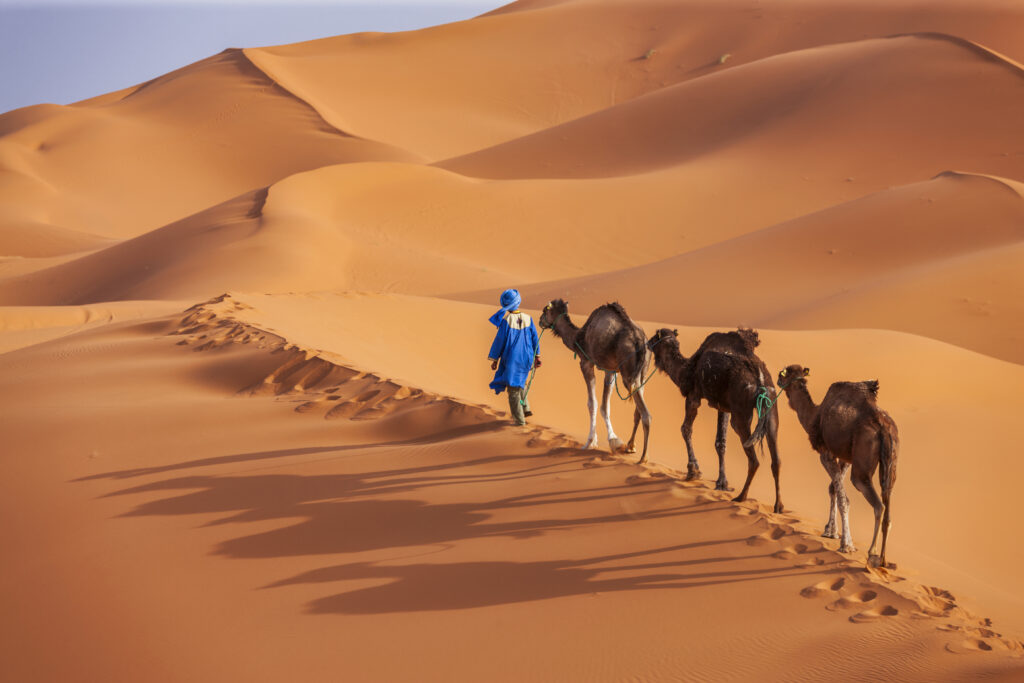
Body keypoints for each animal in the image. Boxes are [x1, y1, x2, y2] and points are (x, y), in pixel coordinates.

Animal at [538, 299, 652, 463]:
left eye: (544, 310)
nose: (540, 321)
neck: (577, 337)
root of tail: (640, 341)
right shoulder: (610, 370)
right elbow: (605, 406)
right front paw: (614, 441)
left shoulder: (586, 362)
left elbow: (592, 403)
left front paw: (590, 442)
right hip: (642, 373)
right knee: (637, 411)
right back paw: (630, 446)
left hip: (628, 374)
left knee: (645, 414)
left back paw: (643, 458)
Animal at [647, 328, 783, 513]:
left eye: (655, 336)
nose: (647, 343)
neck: (686, 369)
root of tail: (760, 380)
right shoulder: (723, 407)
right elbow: (720, 442)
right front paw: (722, 483)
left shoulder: (693, 396)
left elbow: (685, 429)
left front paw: (693, 471)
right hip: (771, 407)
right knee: (776, 458)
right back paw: (778, 506)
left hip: (741, 413)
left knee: (754, 460)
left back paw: (741, 497)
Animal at [776, 364, 899, 568]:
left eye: (784, 373)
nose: (778, 379)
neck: (814, 416)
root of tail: (884, 428)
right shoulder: (845, 457)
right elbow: (833, 488)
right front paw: (830, 531)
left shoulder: (825, 452)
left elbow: (842, 497)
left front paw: (846, 544)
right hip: (891, 460)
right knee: (888, 498)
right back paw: (883, 560)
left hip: (862, 466)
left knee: (877, 504)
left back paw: (872, 554)